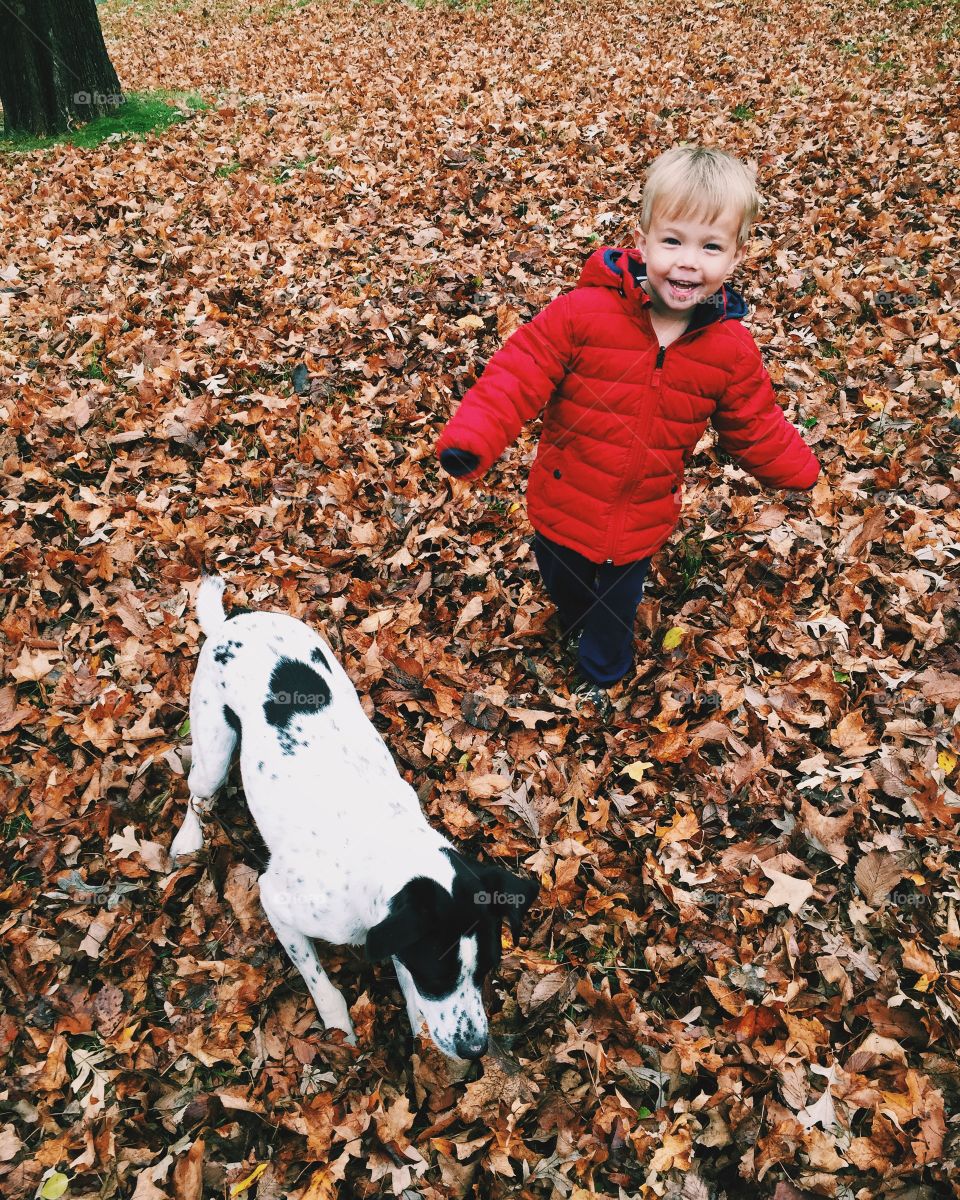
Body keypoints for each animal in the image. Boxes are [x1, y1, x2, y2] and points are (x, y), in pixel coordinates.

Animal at [169, 580, 535, 1060]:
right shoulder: (275, 899)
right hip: (213, 750)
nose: (476, 1049)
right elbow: (320, 981)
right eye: (438, 972)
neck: (383, 845)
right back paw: (188, 840)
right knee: (197, 792)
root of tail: (233, 621)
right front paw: (339, 1027)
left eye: (488, 968)